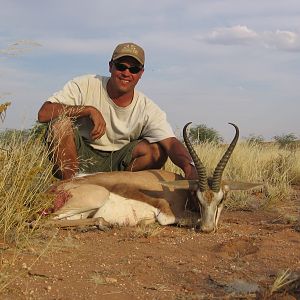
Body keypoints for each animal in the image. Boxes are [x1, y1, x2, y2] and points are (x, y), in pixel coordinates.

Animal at [48, 123, 262, 233]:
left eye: (222, 199)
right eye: (198, 197)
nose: (207, 229)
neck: (180, 192)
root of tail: (54, 189)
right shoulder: (168, 215)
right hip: (94, 198)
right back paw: (103, 223)